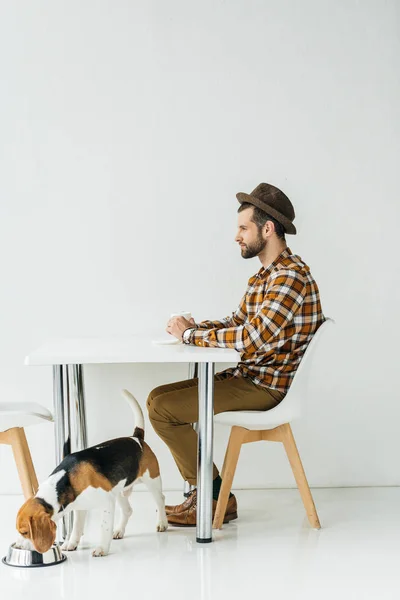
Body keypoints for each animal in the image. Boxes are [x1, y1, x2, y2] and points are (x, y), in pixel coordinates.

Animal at [16, 390, 167, 556]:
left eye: (25, 532)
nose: (17, 546)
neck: (66, 480)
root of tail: (136, 437)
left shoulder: (107, 501)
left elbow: (104, 528)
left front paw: (102, 549)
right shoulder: (80, 507)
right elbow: (76, 528)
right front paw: (71, 544)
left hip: (152, 481)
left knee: (160, 500)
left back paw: (162, 523)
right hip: (119, 490)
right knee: (128, 510)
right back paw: (119, 531)